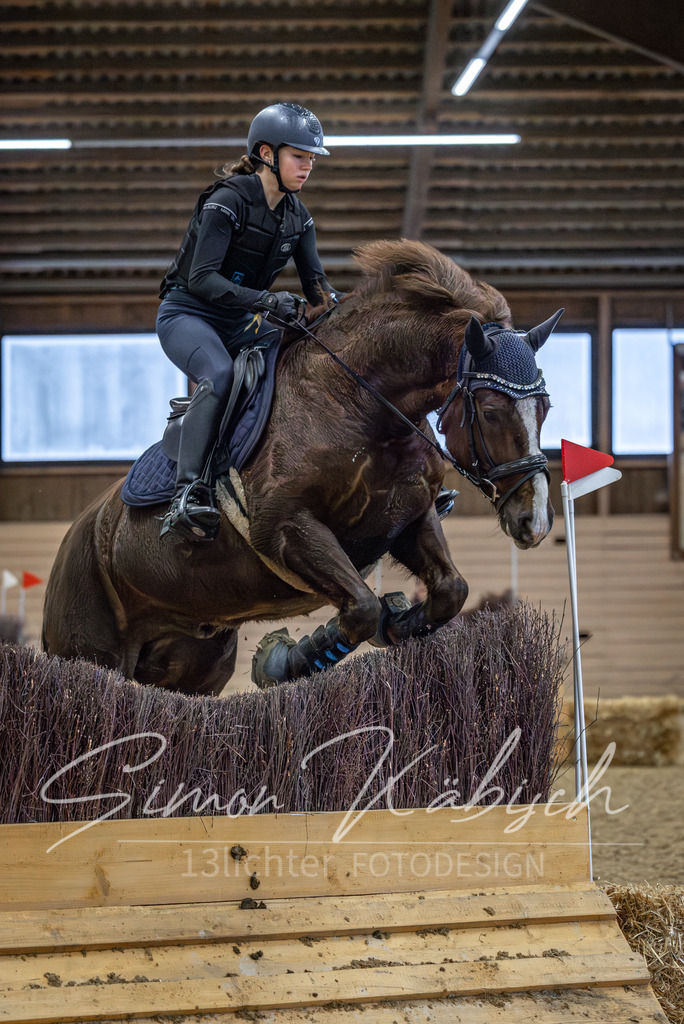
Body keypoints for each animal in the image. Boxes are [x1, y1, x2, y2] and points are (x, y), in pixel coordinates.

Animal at [42, 240, 560, 696]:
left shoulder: (409, 519)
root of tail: (81, 529)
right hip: (89, 647)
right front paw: (282, 661)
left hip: (197, 659)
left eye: (546, 408)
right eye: (490, 412)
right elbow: (361, 609)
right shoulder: (285, 528)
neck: (359, 403)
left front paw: (398, 624)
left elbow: (450, 590)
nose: (534, 521)